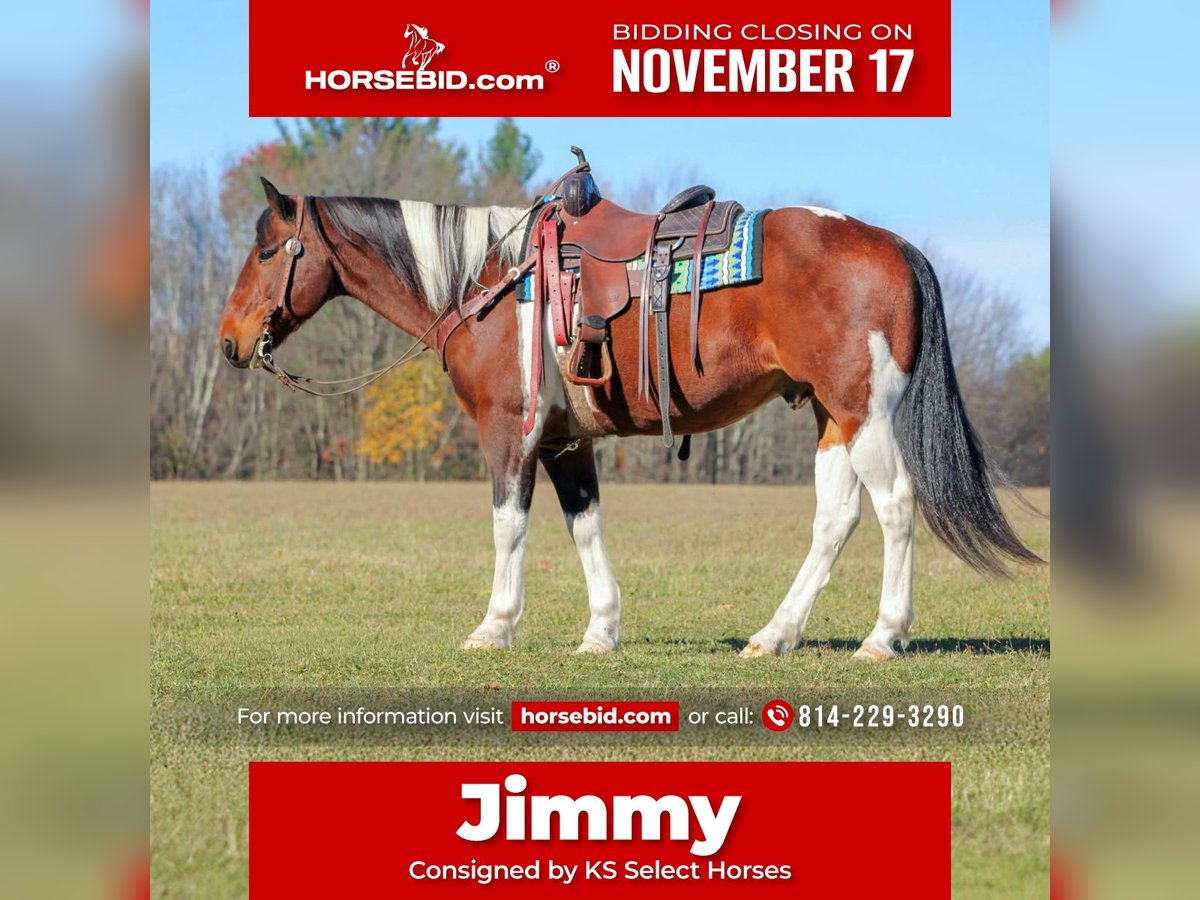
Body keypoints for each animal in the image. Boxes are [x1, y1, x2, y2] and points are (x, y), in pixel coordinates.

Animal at [217, 171, 1042, 660]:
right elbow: (585, 526)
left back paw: (883, 635)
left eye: (267, 251)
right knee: (835, 519)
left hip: (863, 411)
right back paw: (774, 635)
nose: (229, 341)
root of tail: (894, 245)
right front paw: (602, 631)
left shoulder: (509, 429)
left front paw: (495, 625)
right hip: (831, 419)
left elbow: (508, 526)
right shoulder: (564, 442)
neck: (487, 279)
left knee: (896, 505)